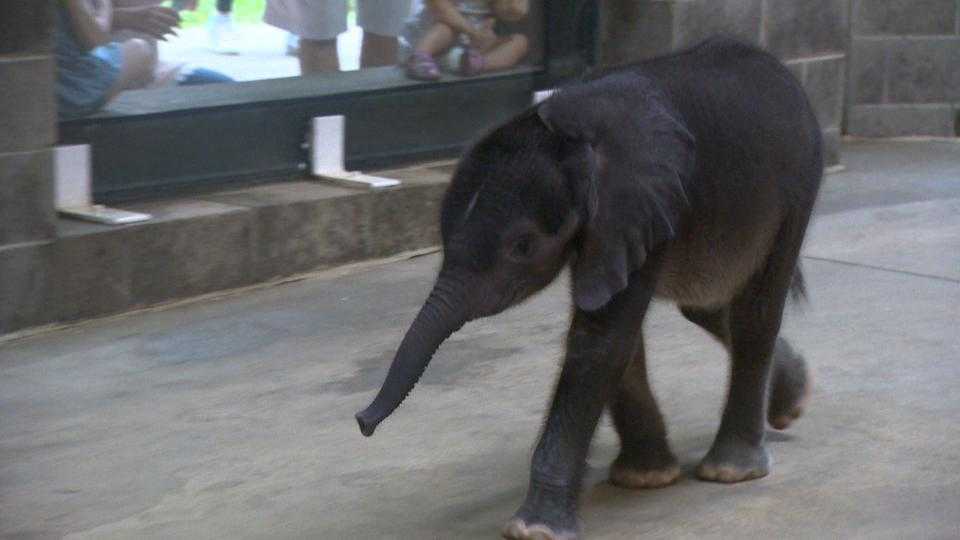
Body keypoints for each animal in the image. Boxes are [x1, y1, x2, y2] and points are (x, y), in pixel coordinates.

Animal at [356, 36, 822, 539]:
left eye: (522, 246)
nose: (362, 423)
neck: (568, 135)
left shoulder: (648, 206)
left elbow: (600, 340)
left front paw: (533, 530)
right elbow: (615, 336)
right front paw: (644, 479)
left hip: (797, 187)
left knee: (755, 310)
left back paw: (732, 470)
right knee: (707, 304)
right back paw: (790, 402)